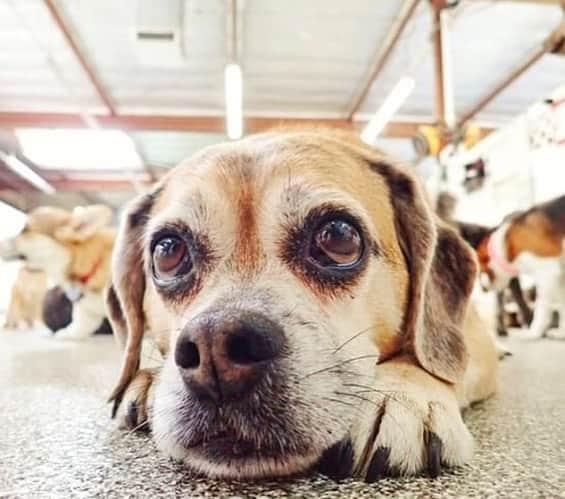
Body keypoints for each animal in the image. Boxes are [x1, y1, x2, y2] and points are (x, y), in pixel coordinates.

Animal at [108, 131, 496, 482]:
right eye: (168, 250)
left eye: (338, 236)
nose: (214, 347)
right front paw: (148, 379)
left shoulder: (474, 335)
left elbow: (443, 361)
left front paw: (402, 395)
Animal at [476, 195, 564, 340]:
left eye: (480, 268)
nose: (482, 289)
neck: (506, 245)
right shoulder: (559, 276)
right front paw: (562, 331)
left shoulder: (548, 274)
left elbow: (542, 308)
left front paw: (534, 332)